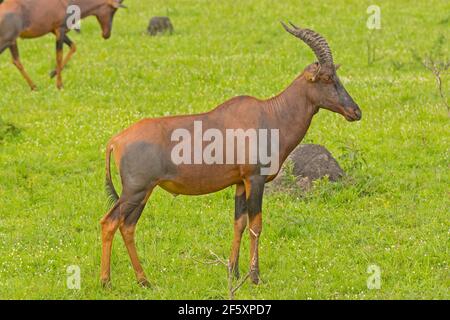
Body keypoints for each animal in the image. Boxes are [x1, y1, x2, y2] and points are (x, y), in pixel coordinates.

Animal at [99, 22, 362, 288]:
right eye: (327, 78)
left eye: (337, 76)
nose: (355, 112)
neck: (269, 114)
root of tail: (116, 140)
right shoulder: (255, 180)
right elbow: (256, 225)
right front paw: (255, 277)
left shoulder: (239, 183)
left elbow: (239, 224)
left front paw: (233, 272)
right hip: (136, 190)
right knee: (110, 222)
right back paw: (106, 282)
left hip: (143, 192)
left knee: (127, 226)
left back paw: (144, 281)